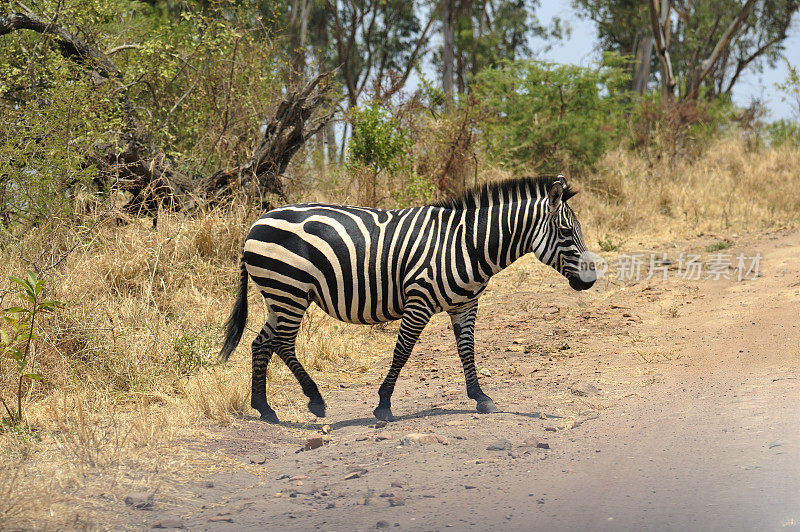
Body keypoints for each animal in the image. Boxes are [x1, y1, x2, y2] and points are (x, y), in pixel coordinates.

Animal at [219, 175, 592, 424]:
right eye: (565, 232)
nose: (590, 280)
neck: (467, 244)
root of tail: (257, 222)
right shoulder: (419, 301)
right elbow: (402, 351)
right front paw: (383, 404)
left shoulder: (466, 304)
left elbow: (467, 350)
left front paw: (481, 398)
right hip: (289, 290)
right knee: (282, 343)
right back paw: (315, 401)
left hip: (280, 294)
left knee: (261, 343)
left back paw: (264, 408)